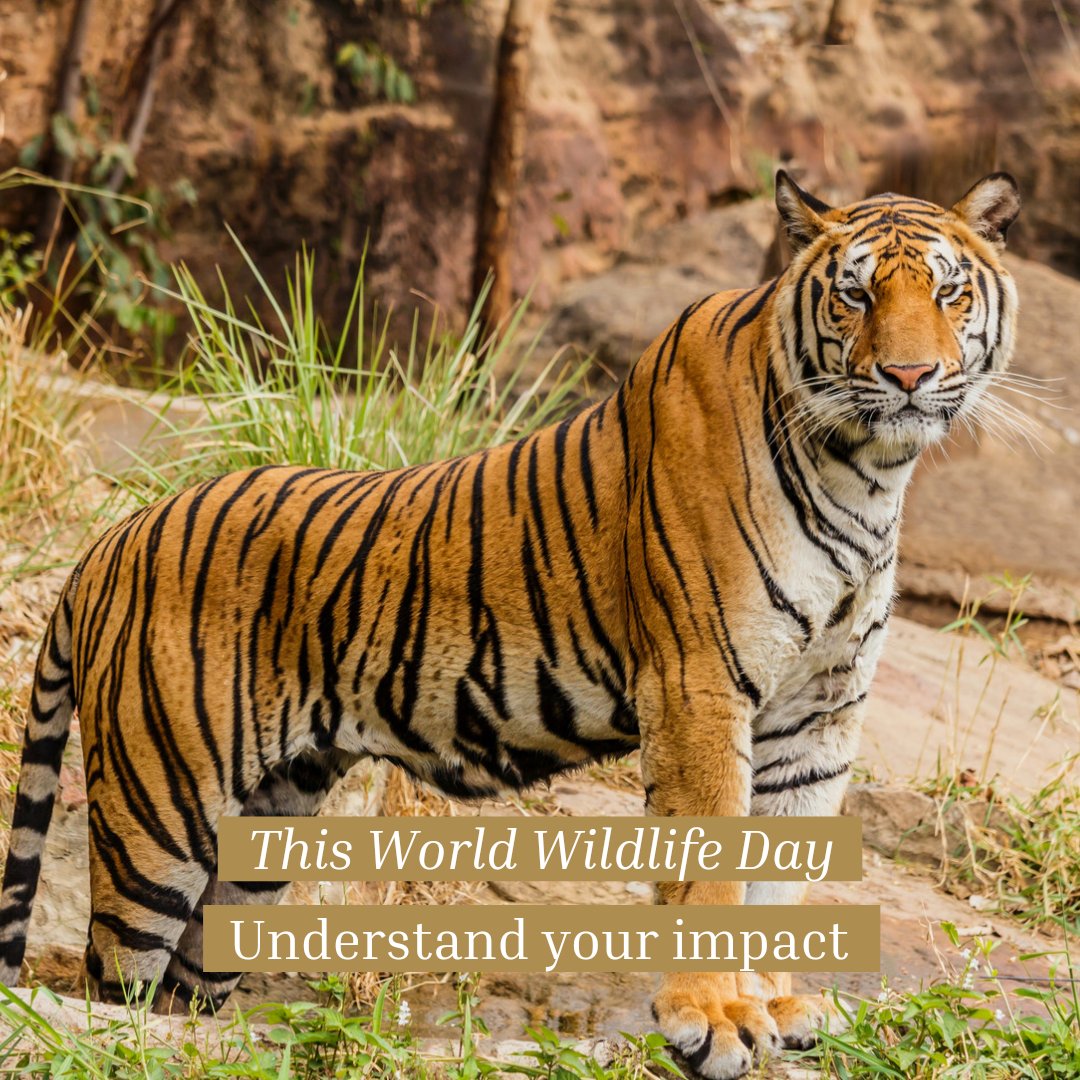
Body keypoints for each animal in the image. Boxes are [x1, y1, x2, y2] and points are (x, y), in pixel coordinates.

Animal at [0, 171, 1019, 1079]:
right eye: (855, 294)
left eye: (948, 290)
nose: (910, 374)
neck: (867, 472)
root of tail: (110, 540)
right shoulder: (699, 684)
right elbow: (712, 869)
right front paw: (714, 1019)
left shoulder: (819, 710)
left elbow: (780, 876)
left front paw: (771, 1005)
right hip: (157, 816)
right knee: (114, 986)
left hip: (261, 834)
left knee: (183, 992)